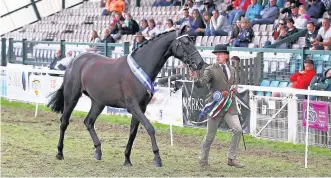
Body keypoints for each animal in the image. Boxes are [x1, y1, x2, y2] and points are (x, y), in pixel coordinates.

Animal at [46, 27, 205, 167]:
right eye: (186, 42)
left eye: (192, 41)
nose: (200, 63)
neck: (140, 68)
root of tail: (75, 61)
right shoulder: (132, 106)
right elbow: (150, 128)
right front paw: (157, 158)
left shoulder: (141, 108)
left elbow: (133, 132)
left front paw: (127, 159)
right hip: (72, 97)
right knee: (64, 122)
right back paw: (59, 153)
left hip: (98, 102)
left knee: (88, 122)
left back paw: (98, 151)